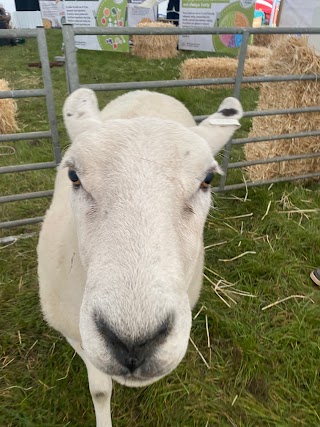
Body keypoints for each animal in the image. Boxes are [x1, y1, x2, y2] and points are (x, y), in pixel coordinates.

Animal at [37, 88, 242, 426]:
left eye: (208, 180)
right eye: (73, 176)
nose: (133, 343)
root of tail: (148, 90)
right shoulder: (74, 332)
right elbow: (100, 390)